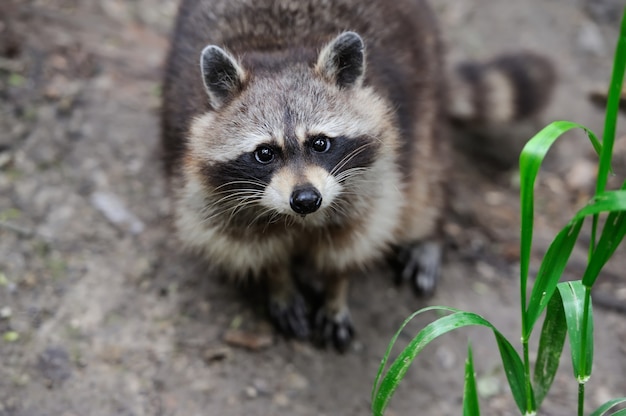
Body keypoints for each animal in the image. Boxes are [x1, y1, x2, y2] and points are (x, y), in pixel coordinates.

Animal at [160, 0, 552, 352]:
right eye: (265, 153)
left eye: (320, 143)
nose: (306, 200)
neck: (279, 51)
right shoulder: (208, 189)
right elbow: (247, 243)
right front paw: (279, 281)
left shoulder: (375, 177)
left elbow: (354, 241)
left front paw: (336, 291)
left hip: (424, 86)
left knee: (426, 181)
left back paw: (429, 231)